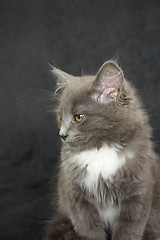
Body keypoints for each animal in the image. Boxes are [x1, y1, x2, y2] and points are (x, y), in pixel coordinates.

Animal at [44, 61, 160, 239]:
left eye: (78, 117)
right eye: (61, 117)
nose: (62, 135)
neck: (100, 150)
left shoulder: (138, 194)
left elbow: (129, 231)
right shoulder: (77, 199)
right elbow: (90, 231)